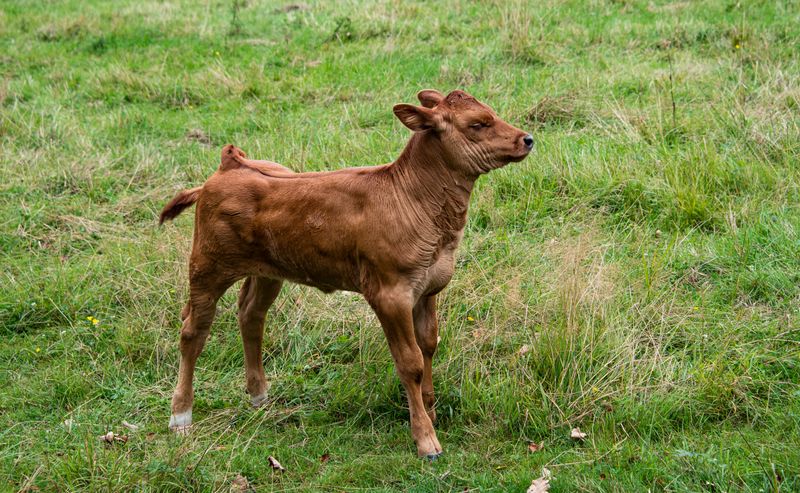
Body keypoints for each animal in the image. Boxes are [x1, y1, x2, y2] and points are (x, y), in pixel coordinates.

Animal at [160, 89, 536, 458]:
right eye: (478, 124)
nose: (528, 138)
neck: (414, 200)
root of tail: (229, 164)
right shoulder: (390, 293)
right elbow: (410, 361)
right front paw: (426, 440)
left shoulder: (427, 289)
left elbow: (429, 345)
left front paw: (429, 411)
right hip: (207, 266)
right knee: (193, 332)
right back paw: (181, 416)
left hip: (268, 271)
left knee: (251, 315)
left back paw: (259, 396)